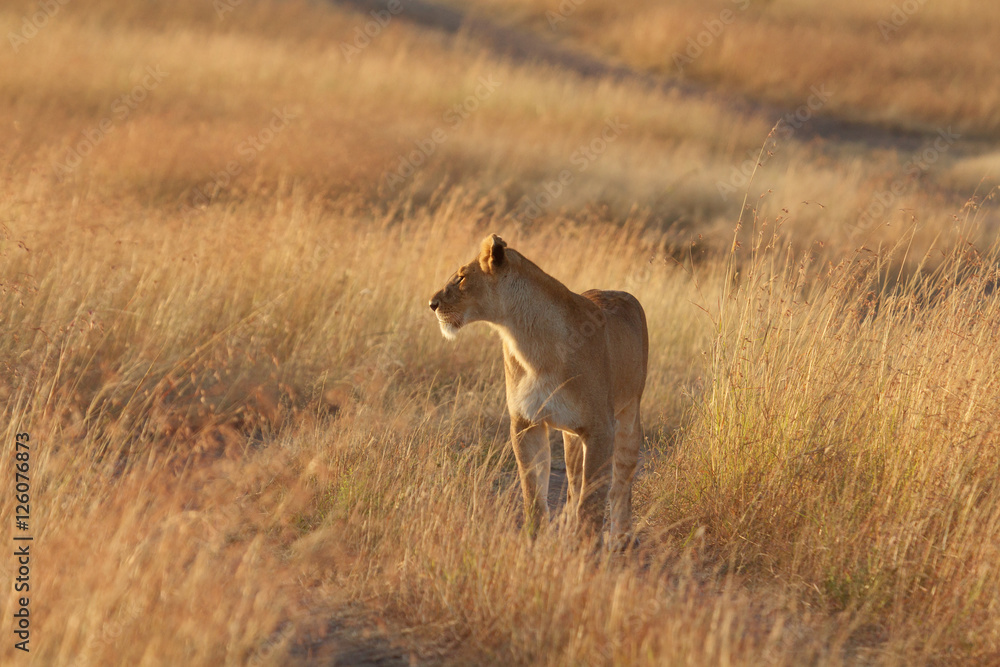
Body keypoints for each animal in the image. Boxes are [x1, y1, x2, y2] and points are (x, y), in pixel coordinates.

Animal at [429, 234, 648, 548]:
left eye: (461, 277)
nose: (431, 303)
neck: (527, 340)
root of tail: (620, 291)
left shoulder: (600, 428)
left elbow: (593, 496)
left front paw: (585, 548)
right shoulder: (526, 423)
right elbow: (533, 490)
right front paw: (534, 540)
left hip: (629, 416)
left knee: (621, 482)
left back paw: (620, 536)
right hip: (571, 437)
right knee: (573, 481)